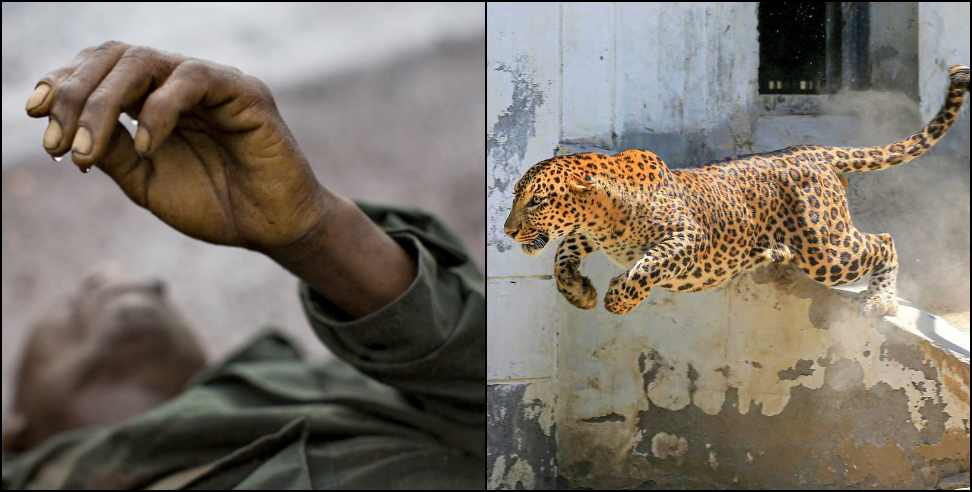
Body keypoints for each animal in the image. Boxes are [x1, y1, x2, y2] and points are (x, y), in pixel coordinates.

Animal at [504, 64, 969, 316]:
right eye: (515, 197)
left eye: (537, 201)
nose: (508, 231)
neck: (604, 214)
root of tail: (814, 151)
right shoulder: (589, 234)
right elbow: (563, 254)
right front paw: (578, 292)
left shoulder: (687, 237)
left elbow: (645, 266)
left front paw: (618, 299)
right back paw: (773, 255)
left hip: (826, 250)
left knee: (883, 241)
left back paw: (881, 300)